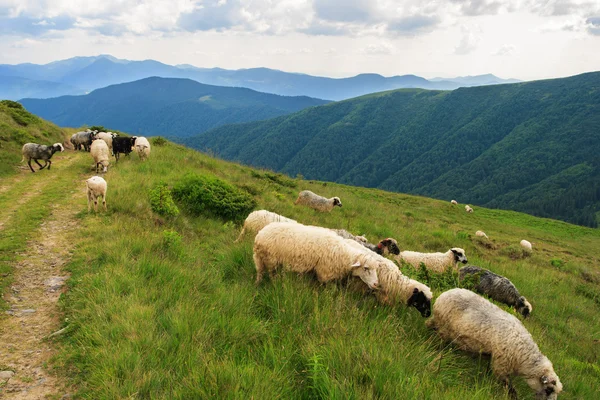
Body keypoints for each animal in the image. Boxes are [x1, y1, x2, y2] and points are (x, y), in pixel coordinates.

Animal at [426, 290, 564, 398]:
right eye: (549, 389)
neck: (524, 356)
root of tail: (444, 294)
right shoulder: (501, 364)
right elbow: (508, 385)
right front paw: (514, 396)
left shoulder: (494, 356)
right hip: (444, 327)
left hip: (440, 323)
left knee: (429, 324)